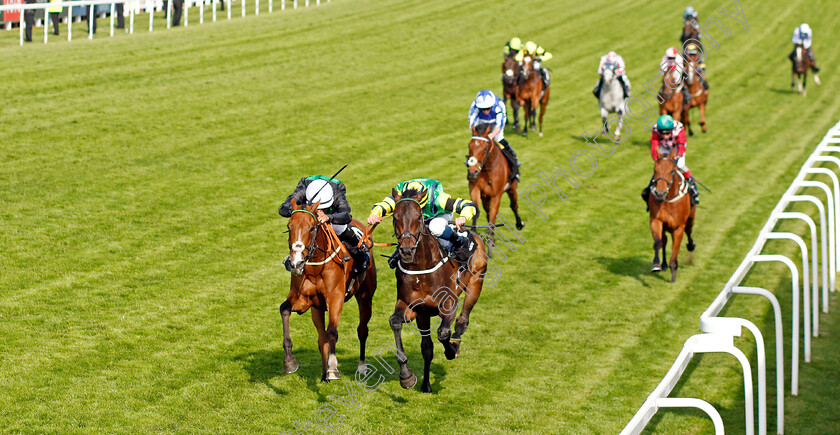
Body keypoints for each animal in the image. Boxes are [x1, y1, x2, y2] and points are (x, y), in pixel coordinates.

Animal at [280, 200, 376, 382]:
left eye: (312, 228)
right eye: (289, 227)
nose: (296, 263)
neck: (316, 266)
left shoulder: (336, 297)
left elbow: (332, 332)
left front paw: (333, 368)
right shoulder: (303, 300)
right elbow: (285, 310)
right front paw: (289, 361)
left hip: (365, 296)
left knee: (362, 330)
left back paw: (361, 367)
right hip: (317, 308)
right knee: (321, 337)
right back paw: (324, 374)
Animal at [386, 191, 486, 396]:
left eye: (418, 217)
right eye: (395, 217)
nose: (406, 251)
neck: (421, 270)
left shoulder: (449, 304)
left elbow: (443, 332)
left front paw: (451, 350)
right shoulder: (412, 308)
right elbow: (395, 322)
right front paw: (406, 376)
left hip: (476, 281)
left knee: (463, 319)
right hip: (424, 316)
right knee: (427, 348)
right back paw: (426, 384)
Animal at [466, 122, 524, 258]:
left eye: (484, 148)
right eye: (469, 146)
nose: (472, 172)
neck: (487, 168)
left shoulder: (496, 195)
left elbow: (493, 217)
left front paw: (490, 248)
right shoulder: (475, 189)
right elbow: (477, 211)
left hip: (511, 189)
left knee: (514, 205)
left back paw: (519, 224)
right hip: (485, 197)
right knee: (487, 211)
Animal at [648, 152, 696, 284]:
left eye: (672, 171)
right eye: (655, 169)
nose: (660, 193)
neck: (668, 199)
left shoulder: (679, 227)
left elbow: (675, 249)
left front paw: (673, 271)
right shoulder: (656, 220)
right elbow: (658, 243)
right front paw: (656, 264)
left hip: (690, 218)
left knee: (689, 231)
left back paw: (691, 245)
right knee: (664, 241)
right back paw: (663, 265)